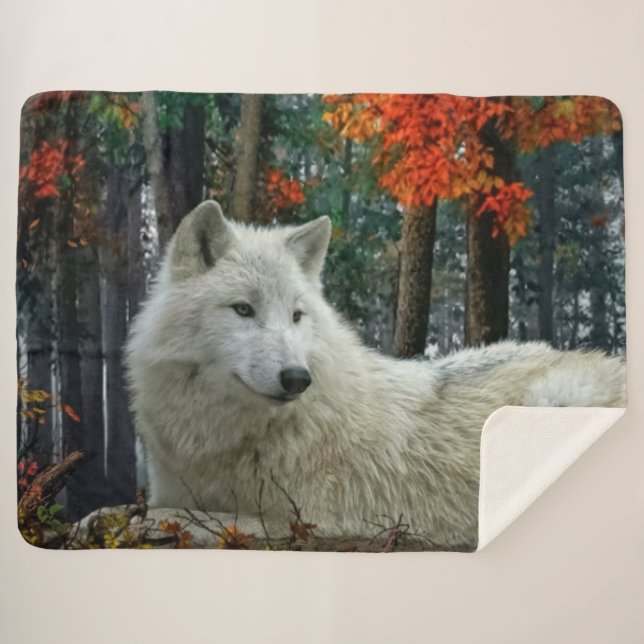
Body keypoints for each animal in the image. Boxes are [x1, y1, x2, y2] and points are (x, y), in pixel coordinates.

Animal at [126, 200, 625, 548]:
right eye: (243, 310)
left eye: (297, 316)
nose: (297, 378)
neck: (224, 437)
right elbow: (164, 508)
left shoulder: (306, 518)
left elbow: (176, 517)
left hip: (554, 398)